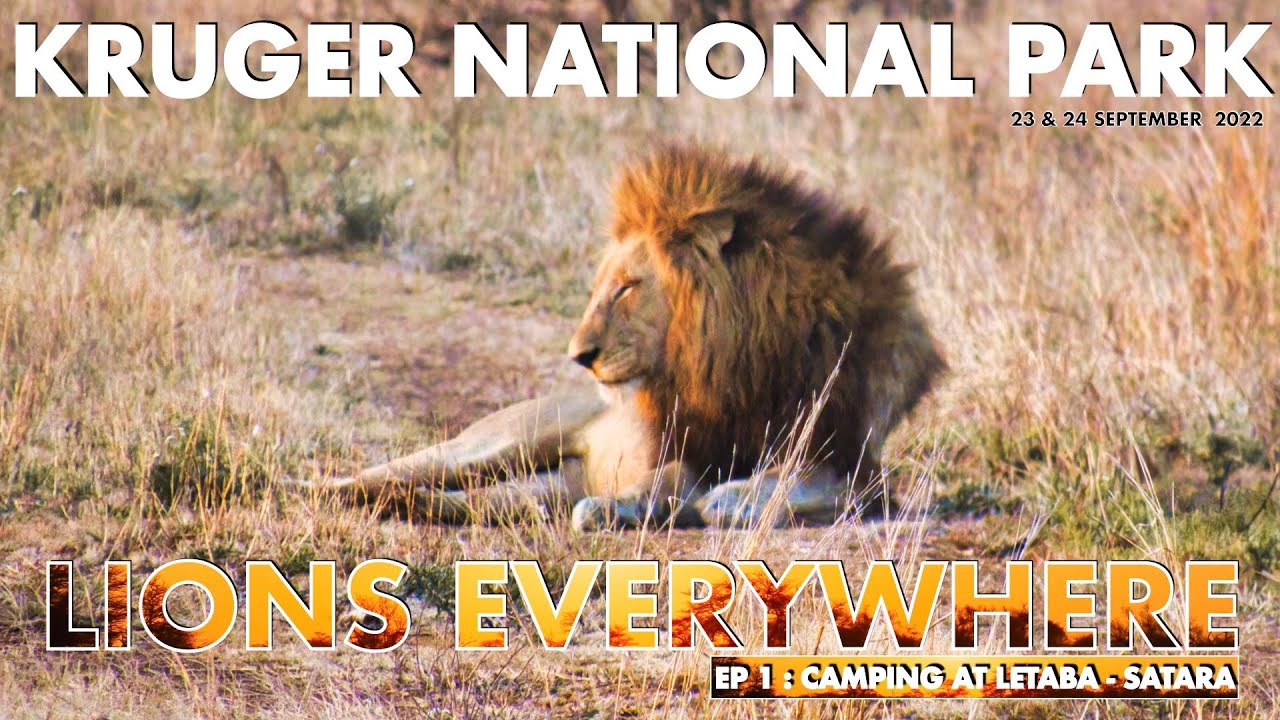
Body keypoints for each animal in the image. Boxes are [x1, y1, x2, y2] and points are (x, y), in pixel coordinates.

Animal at [321, 145, 945, 529]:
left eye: (625, 288)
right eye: (601, 288)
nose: (579, 356)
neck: (738, 360)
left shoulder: (858, 468)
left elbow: (795, 484)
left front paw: (731, 499)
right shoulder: (686, 447)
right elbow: (668, 481)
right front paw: (632, 507)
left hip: (534, 488)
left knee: (477, 504)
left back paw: (404, 505)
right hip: (498, 443)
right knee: (399, 470)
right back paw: (331, 488)